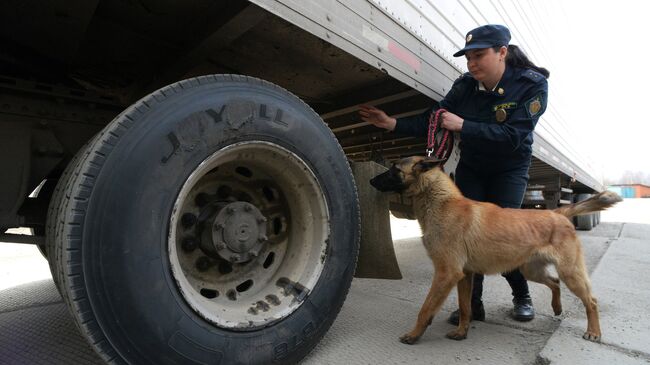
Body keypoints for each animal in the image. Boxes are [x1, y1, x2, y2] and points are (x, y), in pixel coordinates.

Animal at [368, 156, 620, 344]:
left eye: (394, 170)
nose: (370, 181)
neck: (441, 201)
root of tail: (556, 213)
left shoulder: (446, 274)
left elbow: (425, 309)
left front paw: (414, 335)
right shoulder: (464, 276)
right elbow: (465, 307)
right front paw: (462, 332)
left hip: (571, 273)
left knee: (591, 301)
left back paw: (594, 331)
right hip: (532, 270)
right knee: (555, 283)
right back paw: (557, 308)